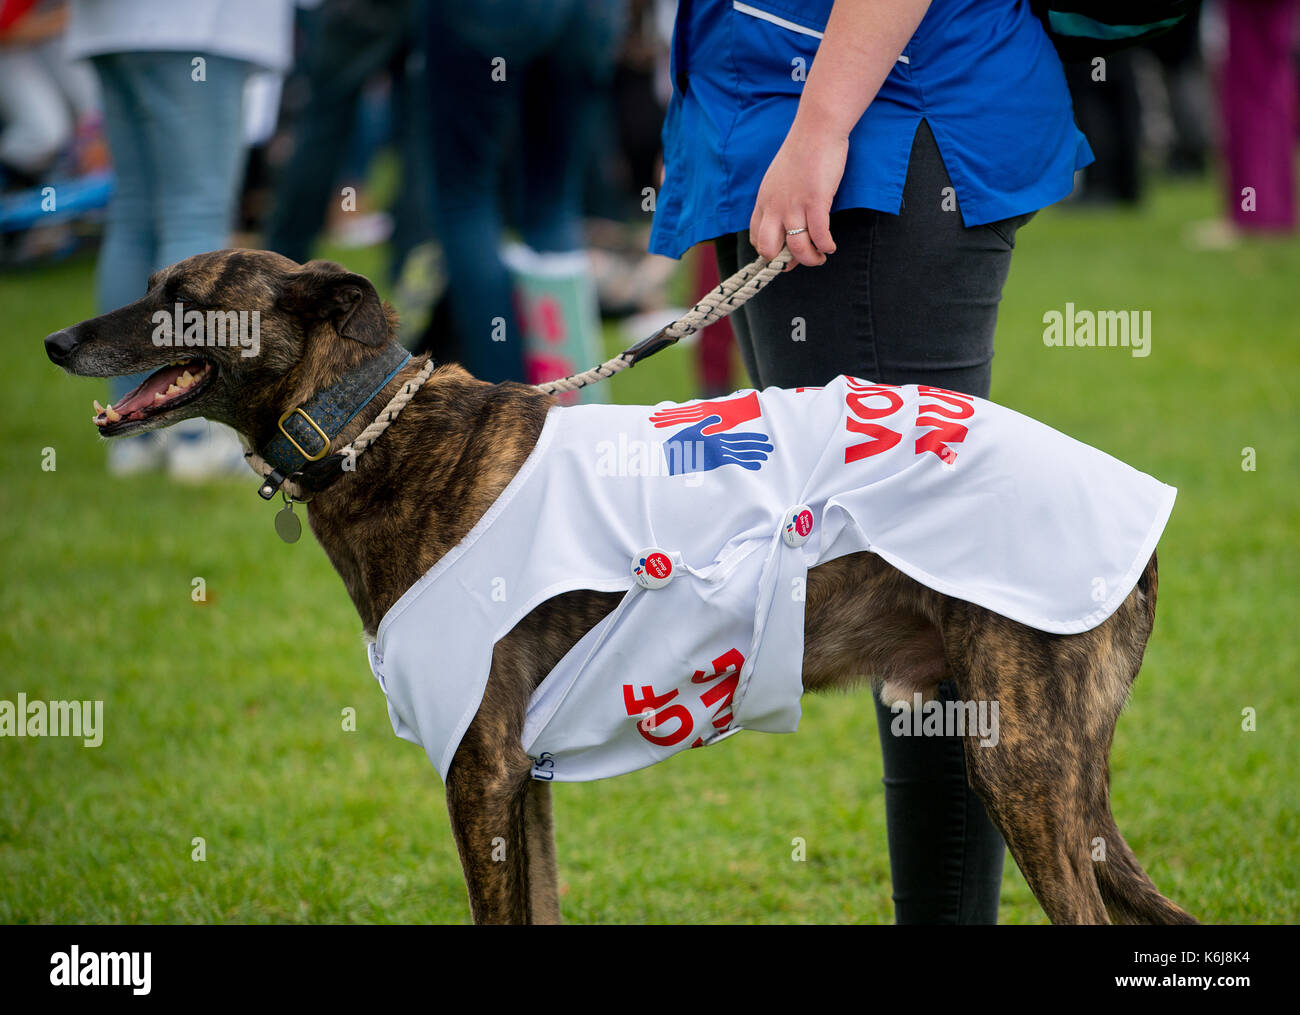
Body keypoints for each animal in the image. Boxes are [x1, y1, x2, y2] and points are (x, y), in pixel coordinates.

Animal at [40, 249, 1196, 920]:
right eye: (151, 288)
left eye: (182, 302)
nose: (54, 339)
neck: (373, 430)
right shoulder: (522, 776)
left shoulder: (478, 769)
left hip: (1022, 764)